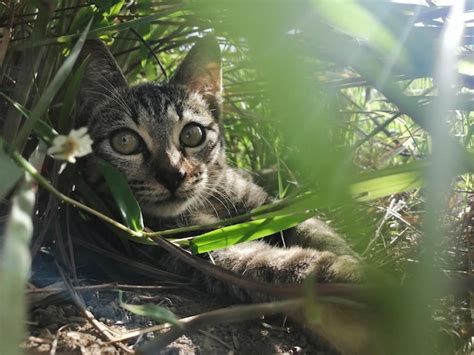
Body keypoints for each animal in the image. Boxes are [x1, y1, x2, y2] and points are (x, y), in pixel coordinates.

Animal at [76, 36, 376, 355]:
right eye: (125, 141)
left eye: (192, 134)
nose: (173, 175)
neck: (209, 201)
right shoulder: (195, 246)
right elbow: (282, 265)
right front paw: (361, 281)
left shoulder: (266, 207)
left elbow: (318, 232)